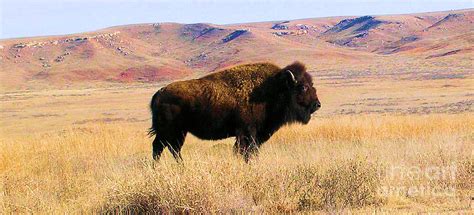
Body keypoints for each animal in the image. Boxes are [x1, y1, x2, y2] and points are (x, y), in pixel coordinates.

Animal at [150, 61, 320, 162]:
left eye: (312, 85)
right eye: (303, 87)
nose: (317, 105)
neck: (274, 88)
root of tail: (160, 92)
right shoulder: (247, 133)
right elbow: (245, 151)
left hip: (178, 132)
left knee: (170, 148)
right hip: (170, 131)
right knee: (161, 147)